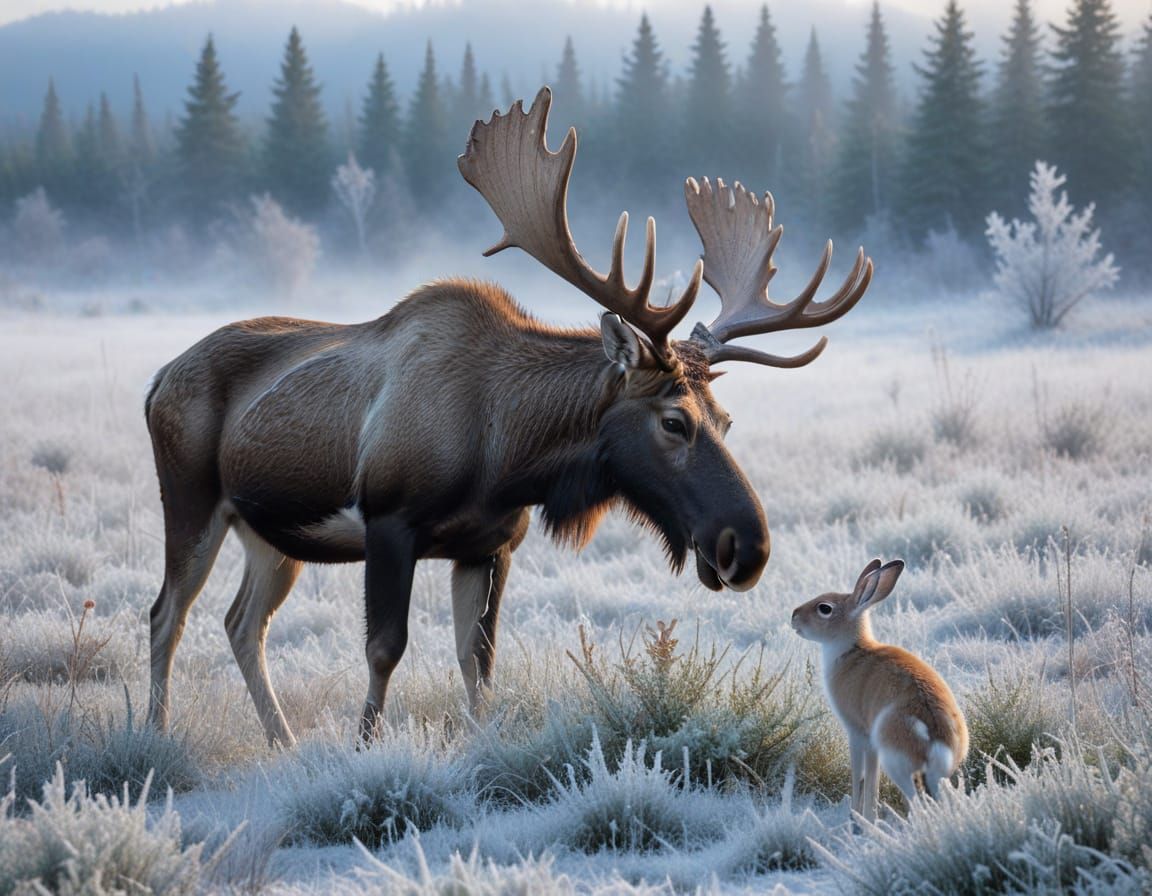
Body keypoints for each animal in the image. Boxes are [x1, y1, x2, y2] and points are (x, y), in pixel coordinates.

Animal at [145, 88, 873, 746]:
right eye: (674, 421)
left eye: (725, 419)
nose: (747, 546)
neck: (508, 460)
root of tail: (157, 378)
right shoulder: (389, 520)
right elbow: (384, 650)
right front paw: (362, 750)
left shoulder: (489, 545)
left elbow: (478, 662)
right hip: (192, 499)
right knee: (166, 614)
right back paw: (154, 734)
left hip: (271, 533)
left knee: (242, 623)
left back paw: (284, 742)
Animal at [791, 559, 968, 823]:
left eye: (824, 608)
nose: (793, 616)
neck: (852, 649)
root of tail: (938, 738)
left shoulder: (857, 733)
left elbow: (861, 776)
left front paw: (858, 816)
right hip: (938, 777)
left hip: (895, 763)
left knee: (917, 802)